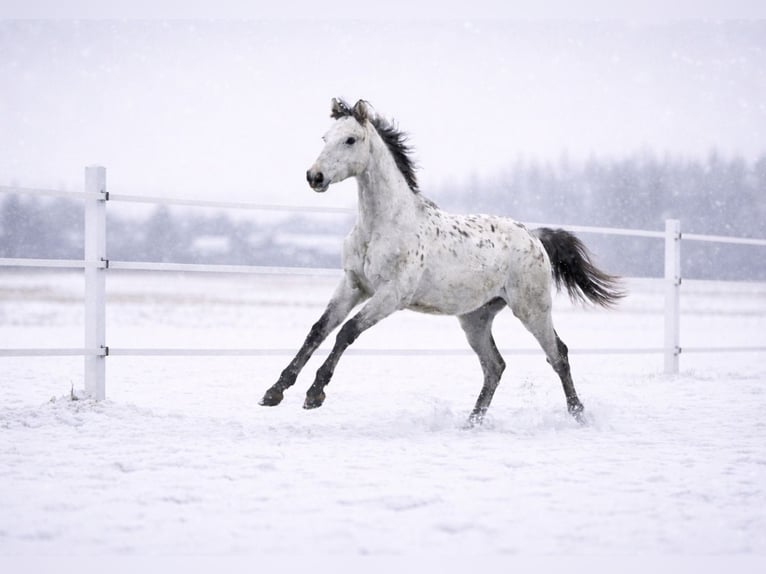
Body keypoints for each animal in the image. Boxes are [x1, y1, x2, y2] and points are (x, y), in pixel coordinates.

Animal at [260, 98, 624, 425]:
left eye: (350, 139)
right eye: (324, 138)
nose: (315, 176)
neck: (383, 225)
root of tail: (534, 237)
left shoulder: (391, 295)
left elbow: (346, 332)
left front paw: (314, 394)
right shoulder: (353, 285)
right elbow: (318, 330)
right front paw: (274, 391)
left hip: (532, 309)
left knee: (557, 355)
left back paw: (578, 415)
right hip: (476, 319)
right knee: (495, 366)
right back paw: (472, 422)